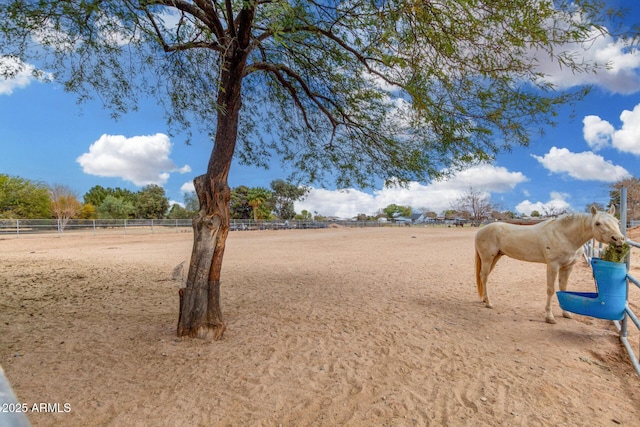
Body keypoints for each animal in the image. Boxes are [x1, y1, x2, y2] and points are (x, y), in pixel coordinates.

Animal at [476, 206, 624, 324]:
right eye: (598, 223)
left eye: (617, 222)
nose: (619, 240)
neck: (565, 235)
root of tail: (480, 231)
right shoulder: (553, 265)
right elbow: (551, 290)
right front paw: (549, 317)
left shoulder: (567, 267)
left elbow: (564, 288)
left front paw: (566, 313)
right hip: (488, 258)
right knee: (484, 277)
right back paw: (488, 303)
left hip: (495, 258)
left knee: (484, 277)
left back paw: (484, 300)